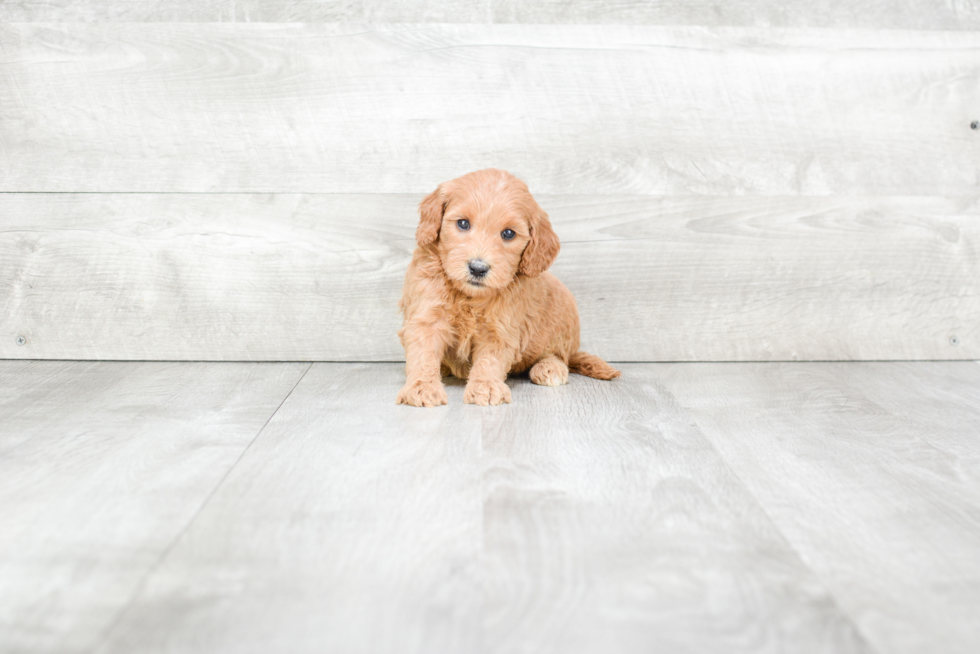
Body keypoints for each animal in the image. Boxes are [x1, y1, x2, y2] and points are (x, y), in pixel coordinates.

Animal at [398, 168, 620, 410]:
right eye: (463, 224)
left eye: (508, 234)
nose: (478, 268)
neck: (469, 296)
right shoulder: (427, 314)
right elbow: (424, 352)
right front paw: (422, 387)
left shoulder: (500, 327)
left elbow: (490, 359)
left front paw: (485, 385)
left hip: (563, 318)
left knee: (558, 355)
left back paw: (549, 367)